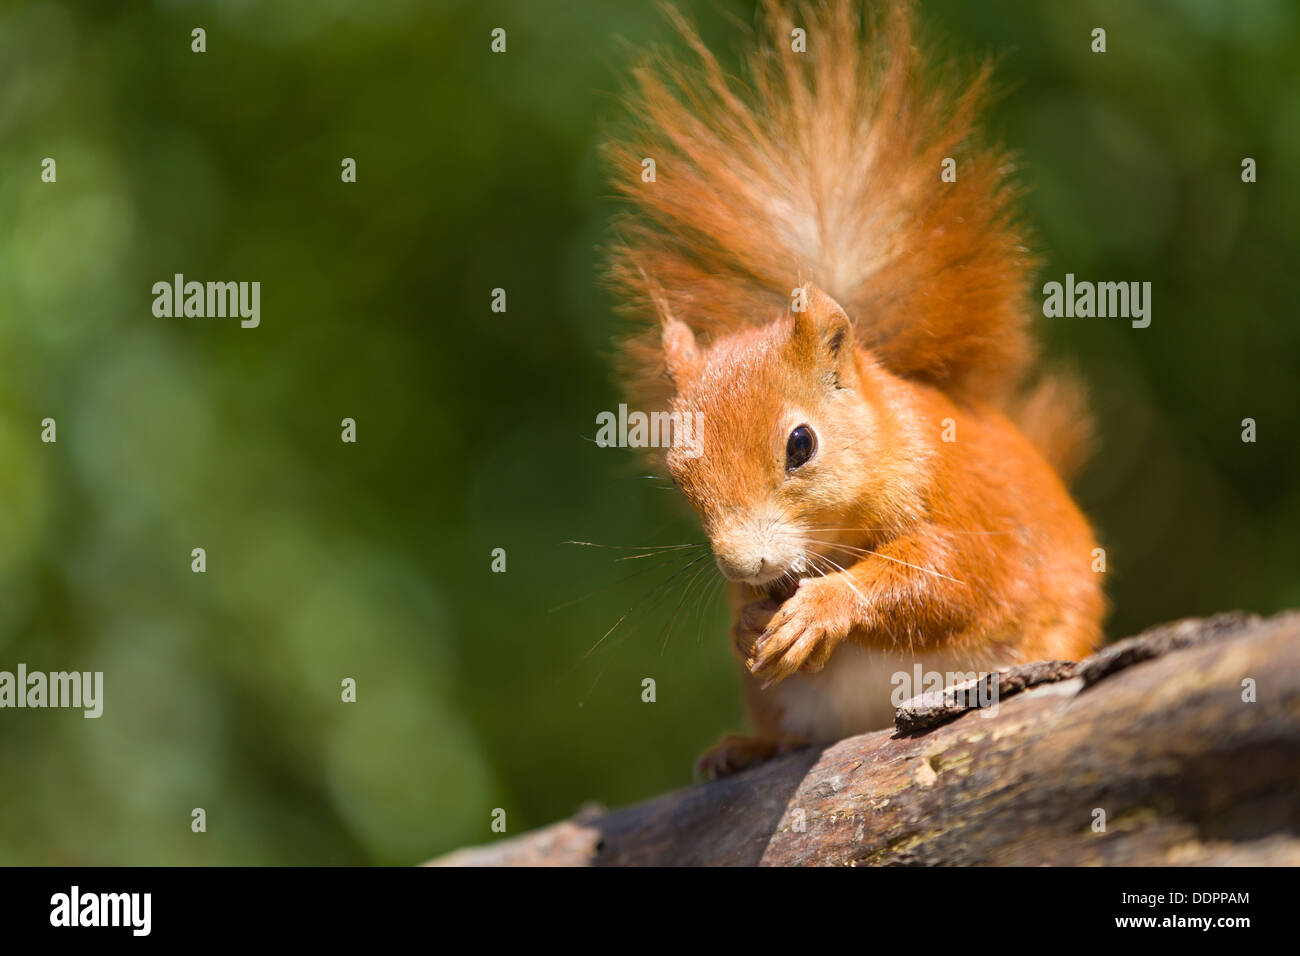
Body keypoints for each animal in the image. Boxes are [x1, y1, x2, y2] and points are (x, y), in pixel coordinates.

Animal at [603, 0, 1102, 780]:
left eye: (801, 444)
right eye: (680, 474)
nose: (744, 564)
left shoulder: (967, 506)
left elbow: (948, 579)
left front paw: (824, 606)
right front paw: (747, 620)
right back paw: (748, 747)